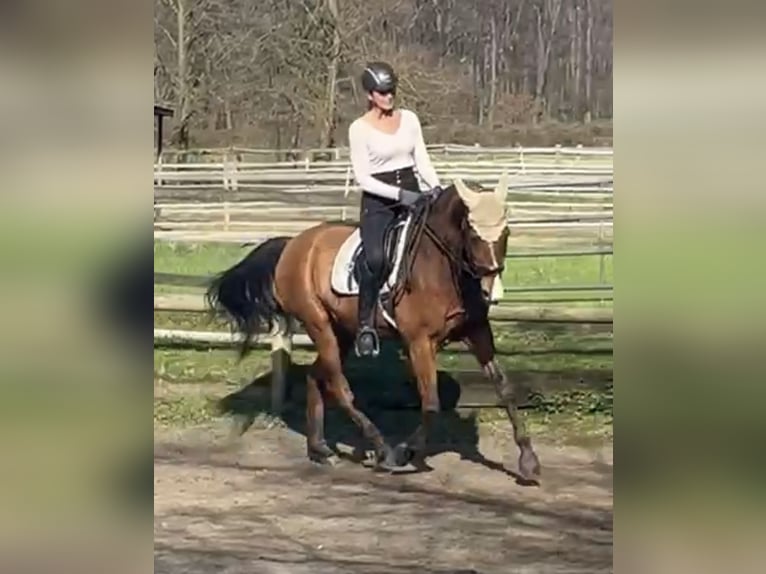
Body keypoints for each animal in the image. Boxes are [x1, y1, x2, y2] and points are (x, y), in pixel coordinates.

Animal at [205, 176, 541, 482]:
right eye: (472, 232)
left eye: (506, 232)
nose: (492, 292)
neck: (442, 267)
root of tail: (293, 243)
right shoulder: (420, 342)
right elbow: (431, 403)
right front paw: (405, 452)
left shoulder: (477, 331)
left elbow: (505, 388)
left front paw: (528, 462)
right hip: (319, 324)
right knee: (340, 388)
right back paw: (381, 450)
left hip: (341, 331)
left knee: (317, 377)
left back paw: (320, 449)